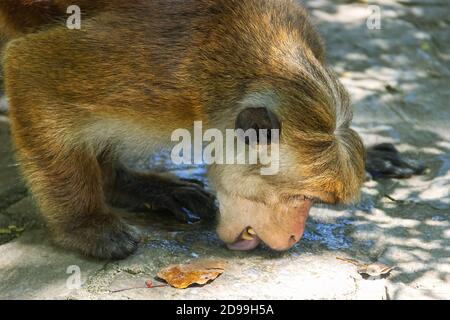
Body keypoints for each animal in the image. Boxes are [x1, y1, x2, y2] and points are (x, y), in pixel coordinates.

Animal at [0, 0, 426, 258]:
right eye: (301, 198)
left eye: (313, 202)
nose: (294, 236)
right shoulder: (155, 77)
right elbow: (30, 70)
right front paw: (85, 224)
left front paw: (374, 154)